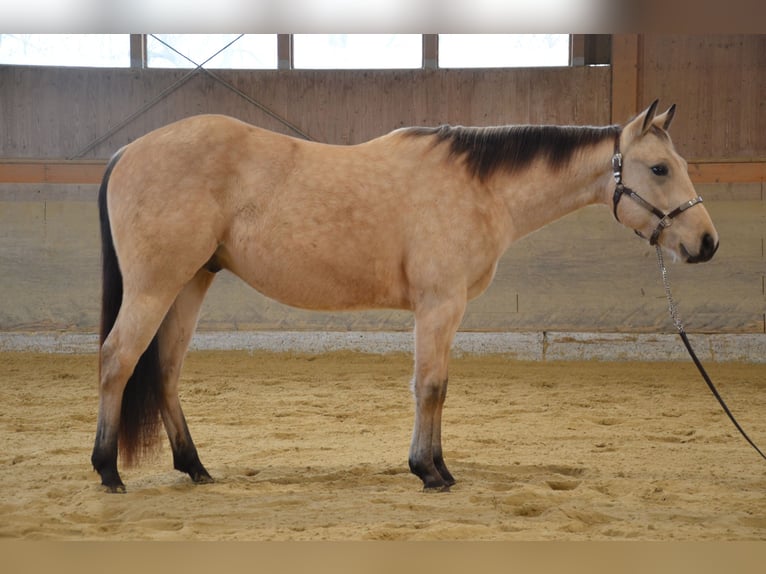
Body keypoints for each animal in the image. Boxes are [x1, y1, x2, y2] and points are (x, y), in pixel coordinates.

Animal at [90, 100, 720, 496]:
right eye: (659, 168)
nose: (706, 242)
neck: (478, 187)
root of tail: (125, 151)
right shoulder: (439, 305)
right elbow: (430, 386)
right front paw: (428, 473)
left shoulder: (446, 309)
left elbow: (437, 388)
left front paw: (438, 467)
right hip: (156, 287)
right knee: (118, 360)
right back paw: (108, 471)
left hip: (190, 282)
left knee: (165, 370)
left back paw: (194, 467)